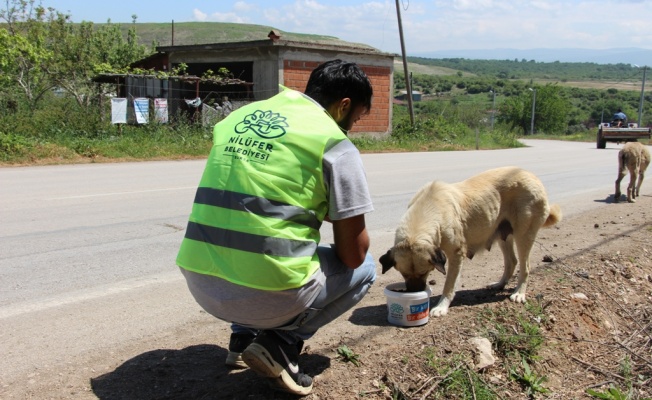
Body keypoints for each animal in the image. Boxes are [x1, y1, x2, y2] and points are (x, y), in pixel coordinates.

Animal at [380, 166, 564, 316]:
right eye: (403, 274)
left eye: (424, 272)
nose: (414, 291)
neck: (428, 209)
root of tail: (533, 176)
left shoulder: (456, 254)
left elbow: (449, 285)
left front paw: (441, 307)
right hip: (503, 235)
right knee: (511, 261)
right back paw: (499, 284)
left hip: (523, 235)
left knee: (525, 266)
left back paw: (519, 292)